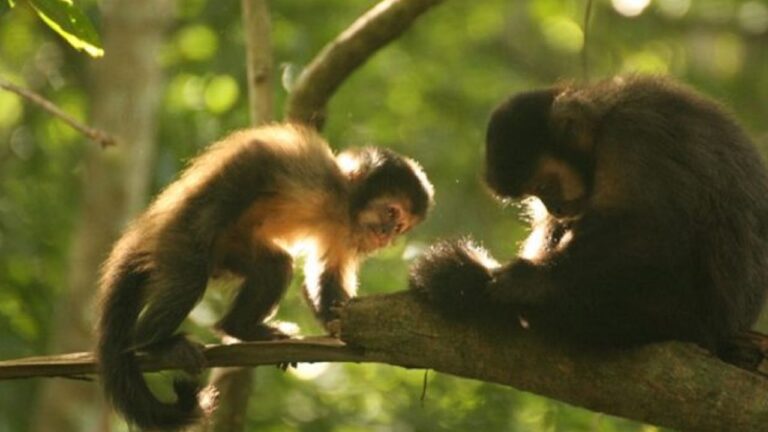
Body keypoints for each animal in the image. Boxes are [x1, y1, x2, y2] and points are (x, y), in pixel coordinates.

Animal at [97, 123, 434, 430]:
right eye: (391, 212)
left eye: (400, 226)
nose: (387, 236)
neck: (339, 204)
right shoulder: (307, 168)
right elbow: (252, 160)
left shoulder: (348, 233)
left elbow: (325, 275)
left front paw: (340, 323)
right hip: (174, 239)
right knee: (191, 271)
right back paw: (155, 342)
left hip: (229, 252)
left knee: (275, 266)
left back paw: (240, 328)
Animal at [410, 75, 768, 359]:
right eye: (535, 195)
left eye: (544, 186)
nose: (553, 207)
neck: (605, 117)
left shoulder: (633, 133)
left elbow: (656, 232)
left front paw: (525, 283)